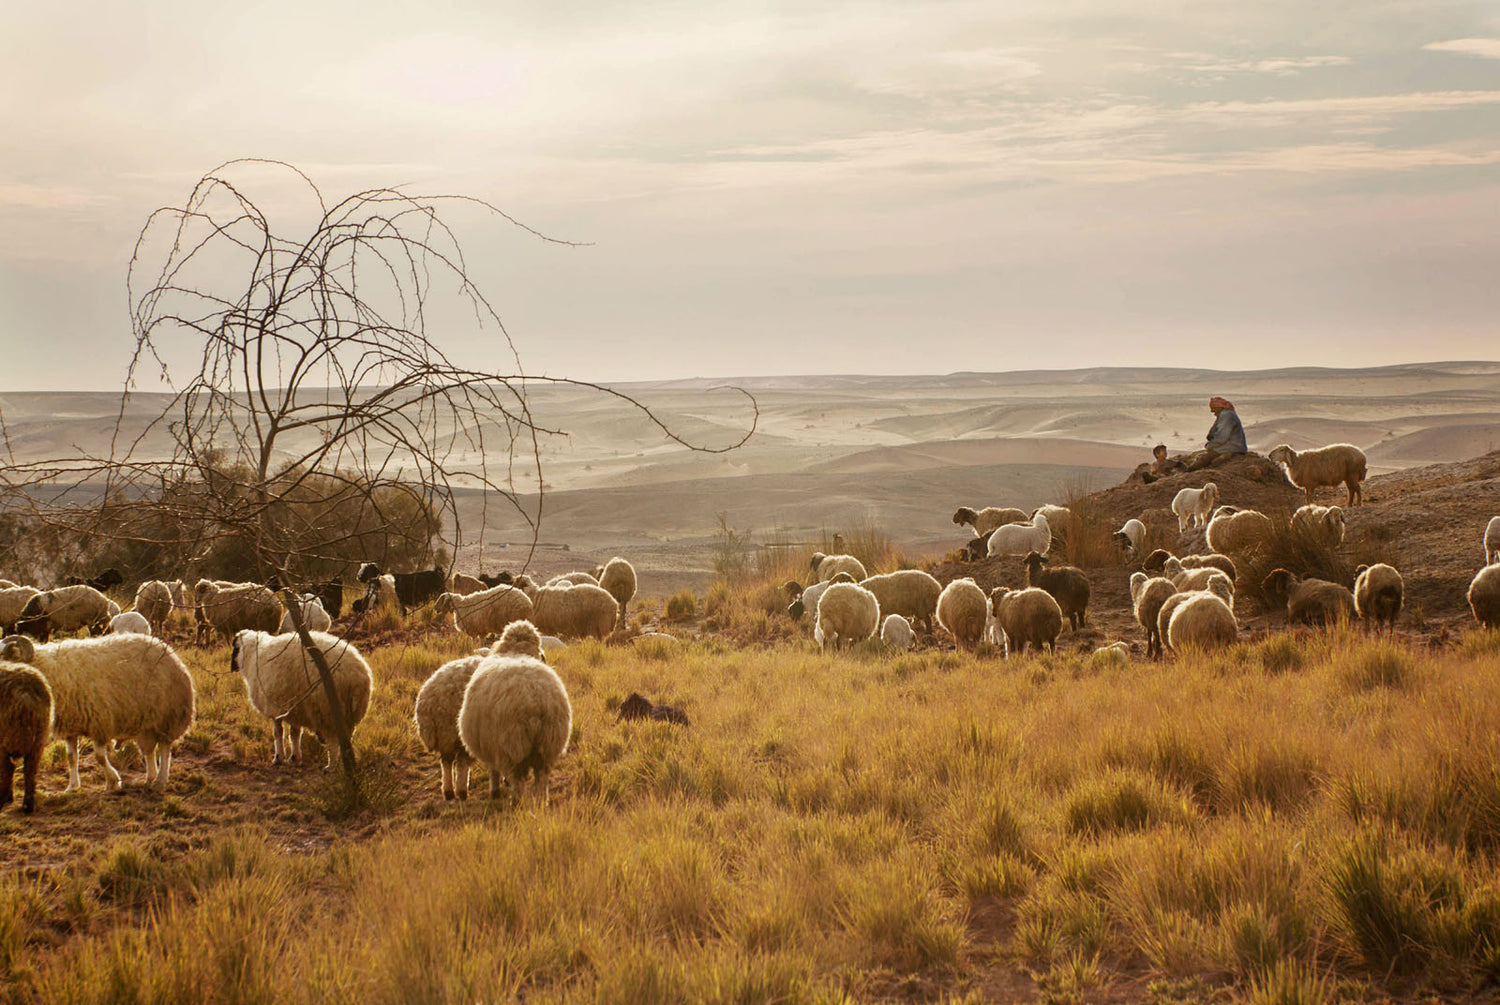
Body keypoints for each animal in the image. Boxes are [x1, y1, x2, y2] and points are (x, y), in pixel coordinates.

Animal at [0, 639, 193, 798]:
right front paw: (72, 786)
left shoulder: (100, 723)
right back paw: (150, 779)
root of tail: (172, 655)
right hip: (146, 725)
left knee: (165, 749)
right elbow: (71, 757)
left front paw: (113, 782)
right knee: (149, 751)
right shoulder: (71, 727)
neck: (49, 670)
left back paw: (160, 781)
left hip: (167, 717)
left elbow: (100, 757)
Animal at [0, 660, 52, 816]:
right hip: (39, 740)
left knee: (8, 768)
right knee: (30, 770)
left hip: (6, 738)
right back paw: (27, 806)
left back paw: (4, 799)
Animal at [235, 633, 378, 768]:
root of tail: (357, 678)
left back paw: (331, 766)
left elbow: (278, 733)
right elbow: (295, 733)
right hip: (349, 714)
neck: (253, 656)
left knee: (333, 741)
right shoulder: (296, 709)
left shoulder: (275, 709)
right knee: (344, 741)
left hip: (328, 711)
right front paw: (295, 758)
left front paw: (278, 758)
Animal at [414, 621, 543, 804]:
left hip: (445, 736)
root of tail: (430, 702)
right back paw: (461, 791)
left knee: (446, 762)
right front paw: (505, 781)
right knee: (461, 763)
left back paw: (448, 792)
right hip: (456, 732)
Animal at [453, 654, 570, 810]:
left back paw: (515, 803)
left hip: (513, 744)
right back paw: (541, 802)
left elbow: (493, 770)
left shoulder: (493, 746)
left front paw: (495, 791)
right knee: (542, 776)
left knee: (518, 777)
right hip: (549, 742)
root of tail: (534, 700)